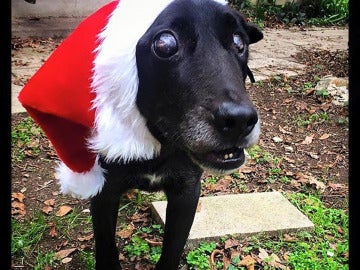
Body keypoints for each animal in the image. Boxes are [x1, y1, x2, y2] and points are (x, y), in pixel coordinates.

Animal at [89, 1, 262, 268]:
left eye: (239, 41)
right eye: (165, 44)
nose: (240, 121)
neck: (158, 144)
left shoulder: (186, 193)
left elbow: (171, 251)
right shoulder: (103, 194)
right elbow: (107, 250)